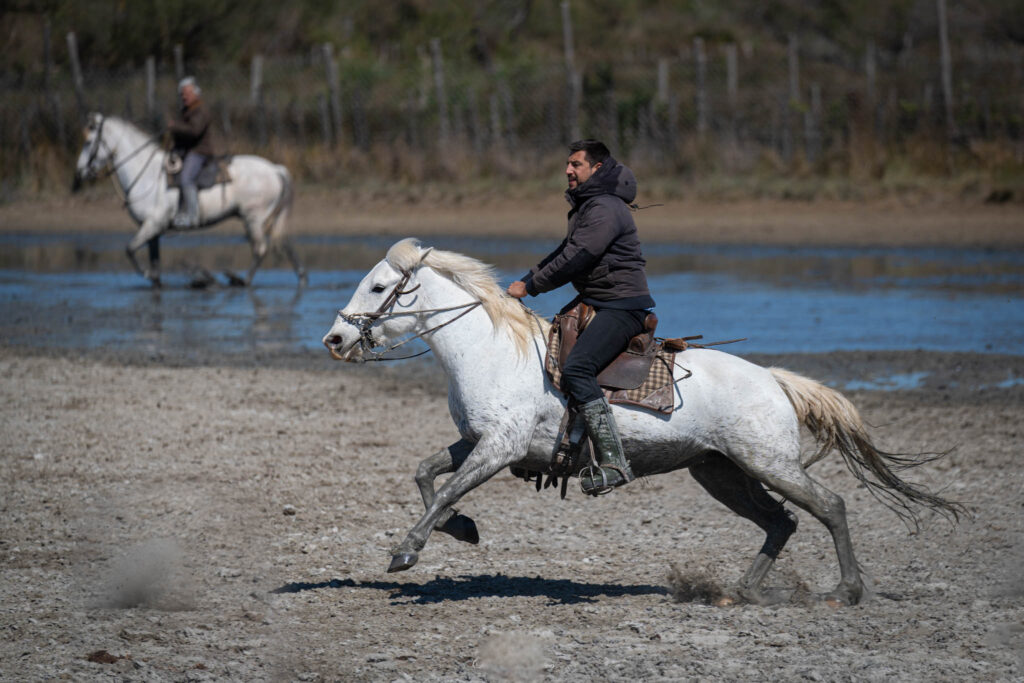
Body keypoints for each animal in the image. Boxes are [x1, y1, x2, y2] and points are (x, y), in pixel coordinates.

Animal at [72, 113, 306, 287]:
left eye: (89, 142)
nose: (79, 173)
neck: (146, 175)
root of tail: (276, 169)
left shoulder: (153, 224)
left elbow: (130, 250)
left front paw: (148, 274)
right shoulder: (153, 230)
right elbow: (154, 261)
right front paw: (156, 280)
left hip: (253, 218)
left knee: (260, 249)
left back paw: (240, 281)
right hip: (267, 218)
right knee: (284, 242)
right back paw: (301, 276)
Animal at [321, 238, 963, 606]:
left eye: (379, 286)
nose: (335, 339)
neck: (492, 350)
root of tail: (774, 380)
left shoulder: (498, 447)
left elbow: (443, 488)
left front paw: (407, 552)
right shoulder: (480, 442)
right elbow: (426, 475)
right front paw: (462, 529)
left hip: (767, 463)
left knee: (829, 506)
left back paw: (847, 591)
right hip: (722, 473)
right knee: (781, 523)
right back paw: (744, 591)